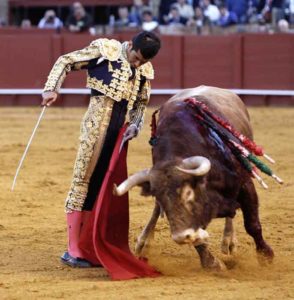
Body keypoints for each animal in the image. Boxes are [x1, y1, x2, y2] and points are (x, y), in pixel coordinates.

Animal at [114, 85, 276, 270]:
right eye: (160, 198)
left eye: (188, 193)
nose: (180, 237)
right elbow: (196, 236)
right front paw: (212, 264)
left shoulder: (245, 184)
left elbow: (252, 224)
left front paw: (266, 256)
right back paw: (144, 242)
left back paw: (229, 241)